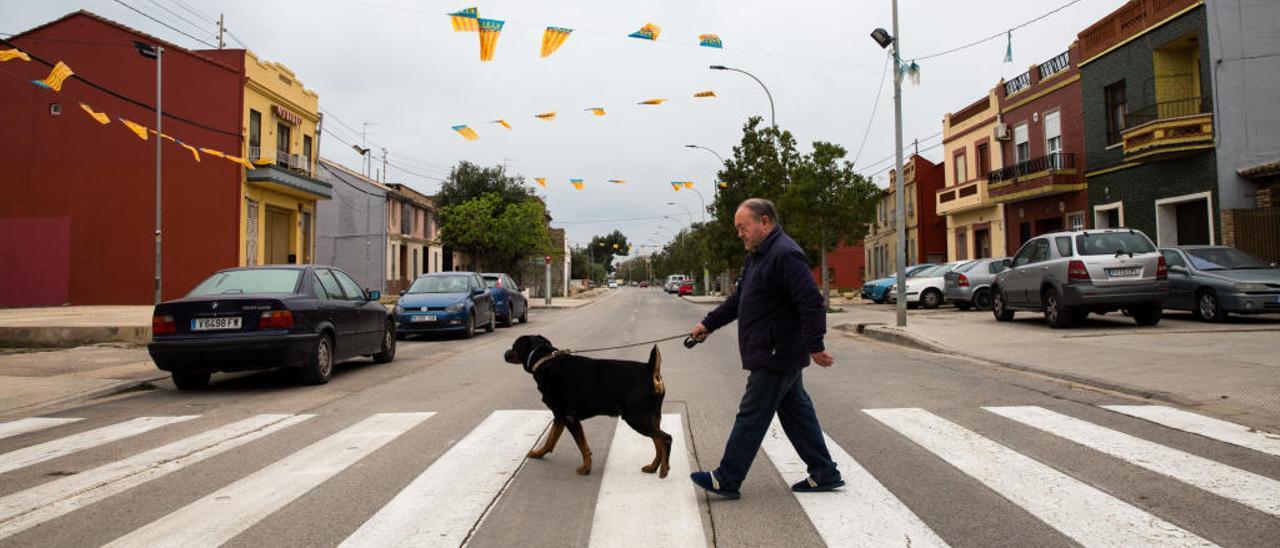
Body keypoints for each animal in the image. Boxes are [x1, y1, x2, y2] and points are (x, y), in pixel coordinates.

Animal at [504, 332, 675, 476]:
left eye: (514, 346)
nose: (505, 353)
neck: (545, 360)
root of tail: (651, 369)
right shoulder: (559, 417)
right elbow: (551, 439)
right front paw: (539, 453)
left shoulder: (569, 417)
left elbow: (582, 446)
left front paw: (586, 468)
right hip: (651, 417)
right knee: (658, 442)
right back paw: (653, 467)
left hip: (636, 417)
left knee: (665, 439)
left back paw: (664, 469)